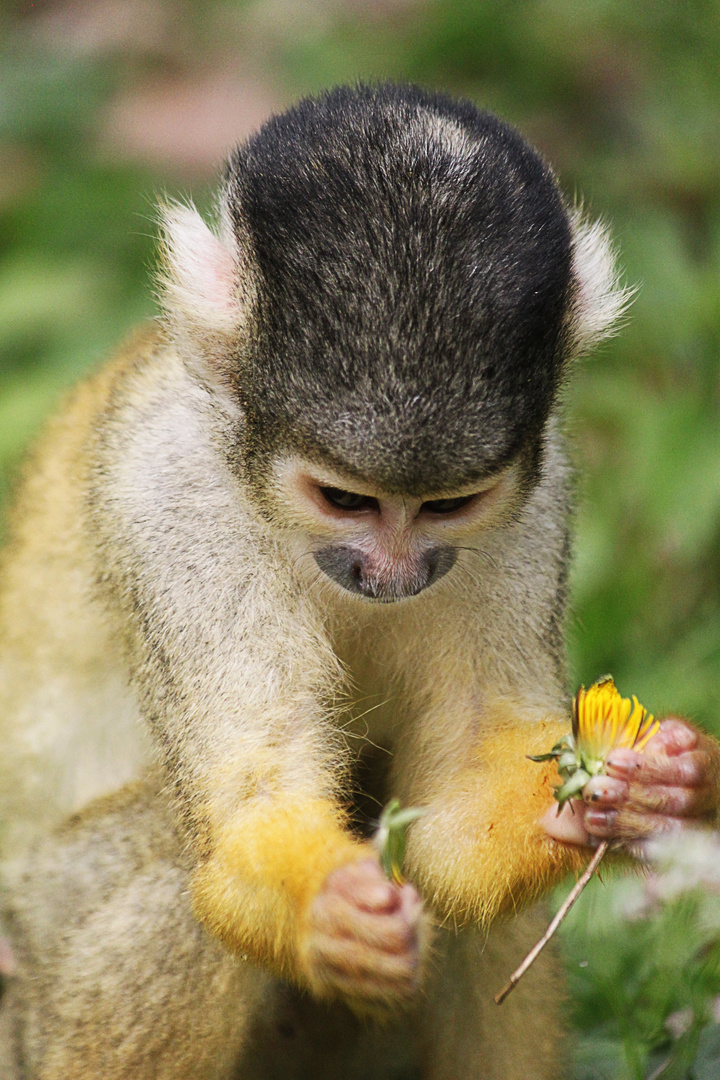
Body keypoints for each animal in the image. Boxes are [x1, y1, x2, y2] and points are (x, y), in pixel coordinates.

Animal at [1, 84, 720, 1080]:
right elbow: (250, 814)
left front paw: (654, 791)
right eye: (344, 498)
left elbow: (452, 839)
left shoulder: (537, 499)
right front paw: (327, 915)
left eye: (449, 505)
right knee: (179, 881)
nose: (394, 573)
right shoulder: (171, 494)